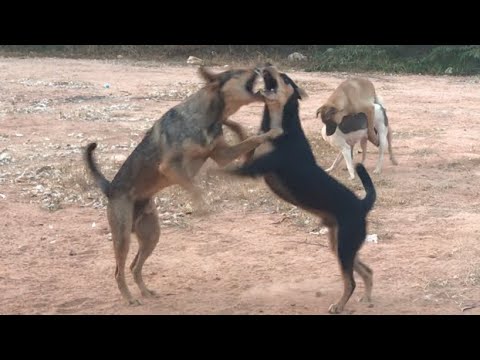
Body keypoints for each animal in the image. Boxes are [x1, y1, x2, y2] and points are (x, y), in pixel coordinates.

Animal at [85, 66, 282, 306]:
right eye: (238, 71)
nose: (260, 66)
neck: (210, 116)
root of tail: (110, 189)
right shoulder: (170, 166)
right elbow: (195, 187)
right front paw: (203, 206)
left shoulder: (222, 155)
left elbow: (251, 139)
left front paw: (269, 132)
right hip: (123, 237)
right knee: (118, 271)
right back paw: (130, 298)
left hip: (151, 236)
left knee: (134, 267)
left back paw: (145, 291)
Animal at [220, 66, 376, 314]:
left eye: (284, 78)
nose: (266, 65)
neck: (282, 126)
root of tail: (362, 204)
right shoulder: (251, 157)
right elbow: (244, 138)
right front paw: (228, 122)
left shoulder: (254, 167)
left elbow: (223, 168)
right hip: (340, 245)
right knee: (366, 271)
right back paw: (366, 297)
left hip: (344, 245)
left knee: (350, 282)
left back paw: (339, 305)